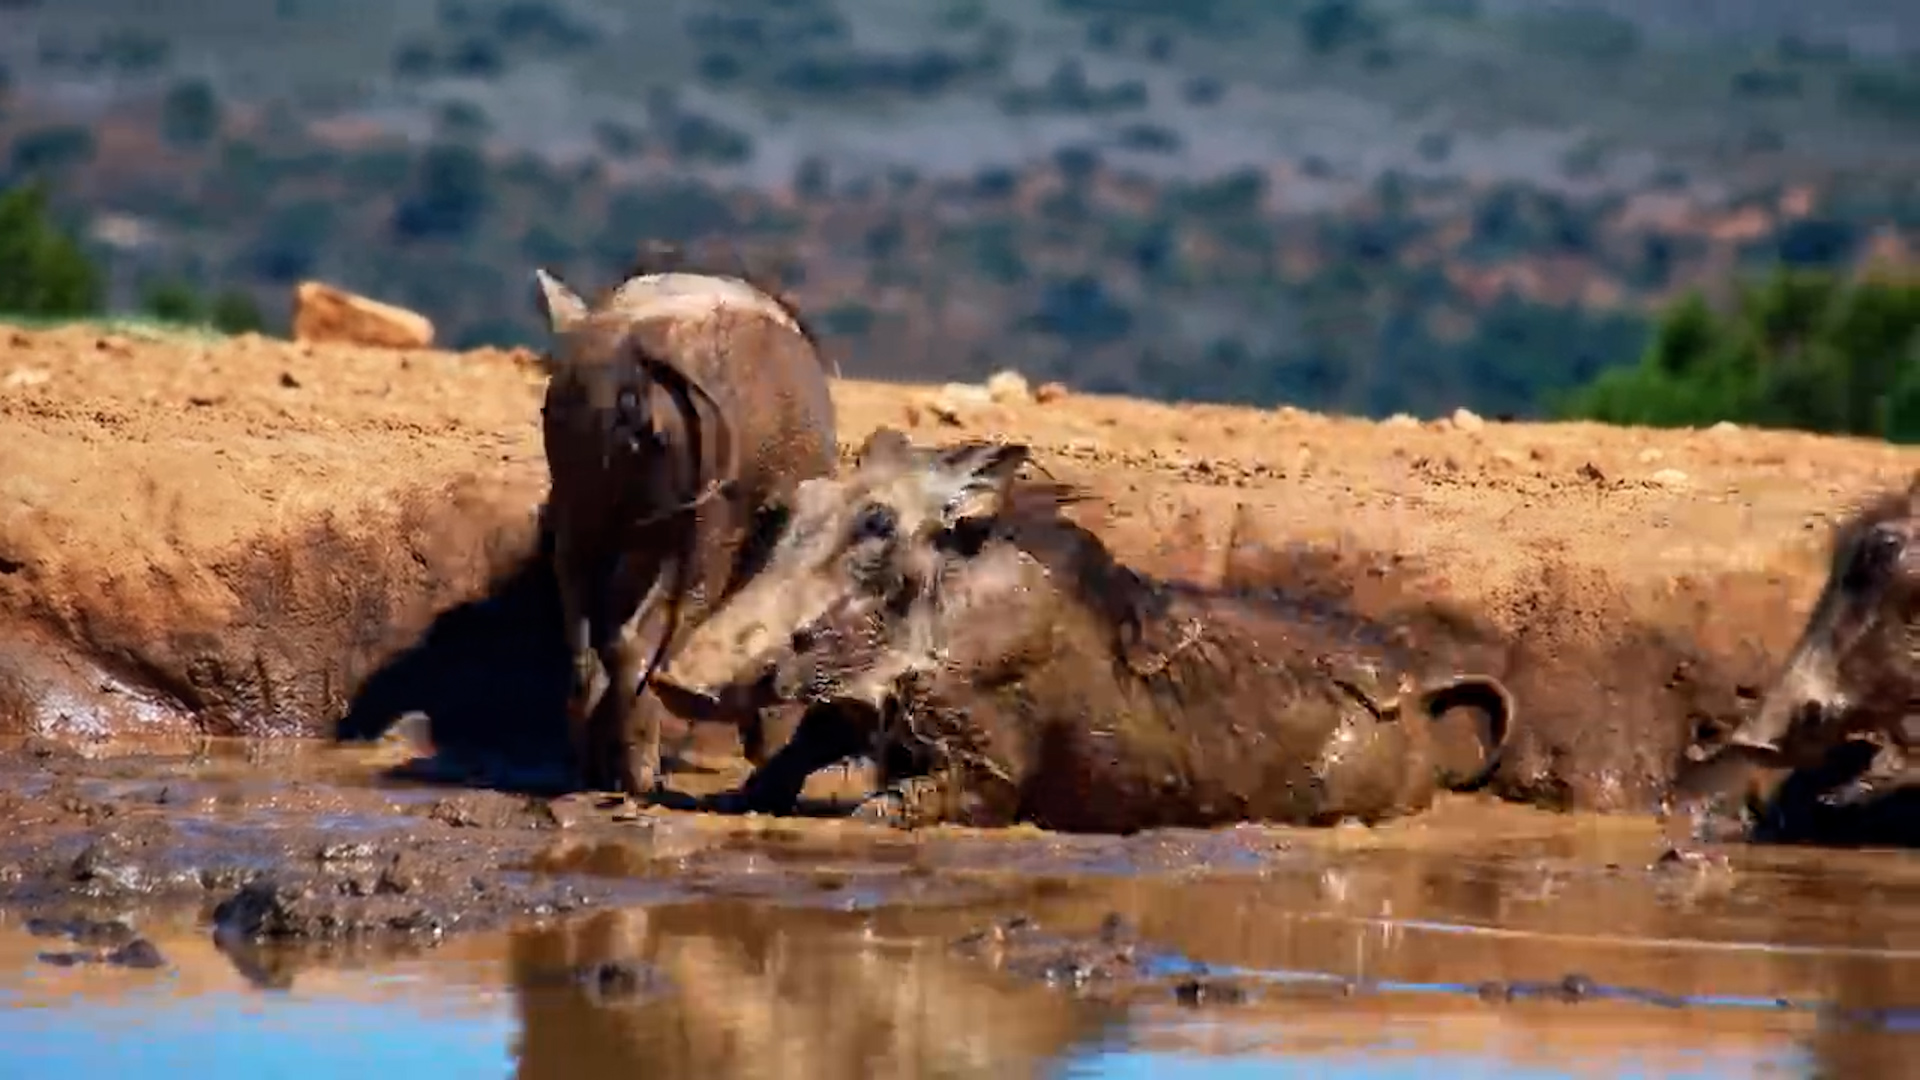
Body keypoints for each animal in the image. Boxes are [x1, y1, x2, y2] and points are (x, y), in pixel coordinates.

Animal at [533, 250, 838, 795]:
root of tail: (639, 350)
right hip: (704, 536)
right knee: (638, 636)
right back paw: (640, 778)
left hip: (582, 513)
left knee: (586, 639)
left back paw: (593, 771)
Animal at [651, 430, 1519, 833]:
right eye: (798, 502)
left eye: (877, 522)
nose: (677, 683)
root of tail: (1426, 686)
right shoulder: (854, 709)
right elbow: (797, 750)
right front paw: (727, 797)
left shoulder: (987, 766)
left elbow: (884, 806)